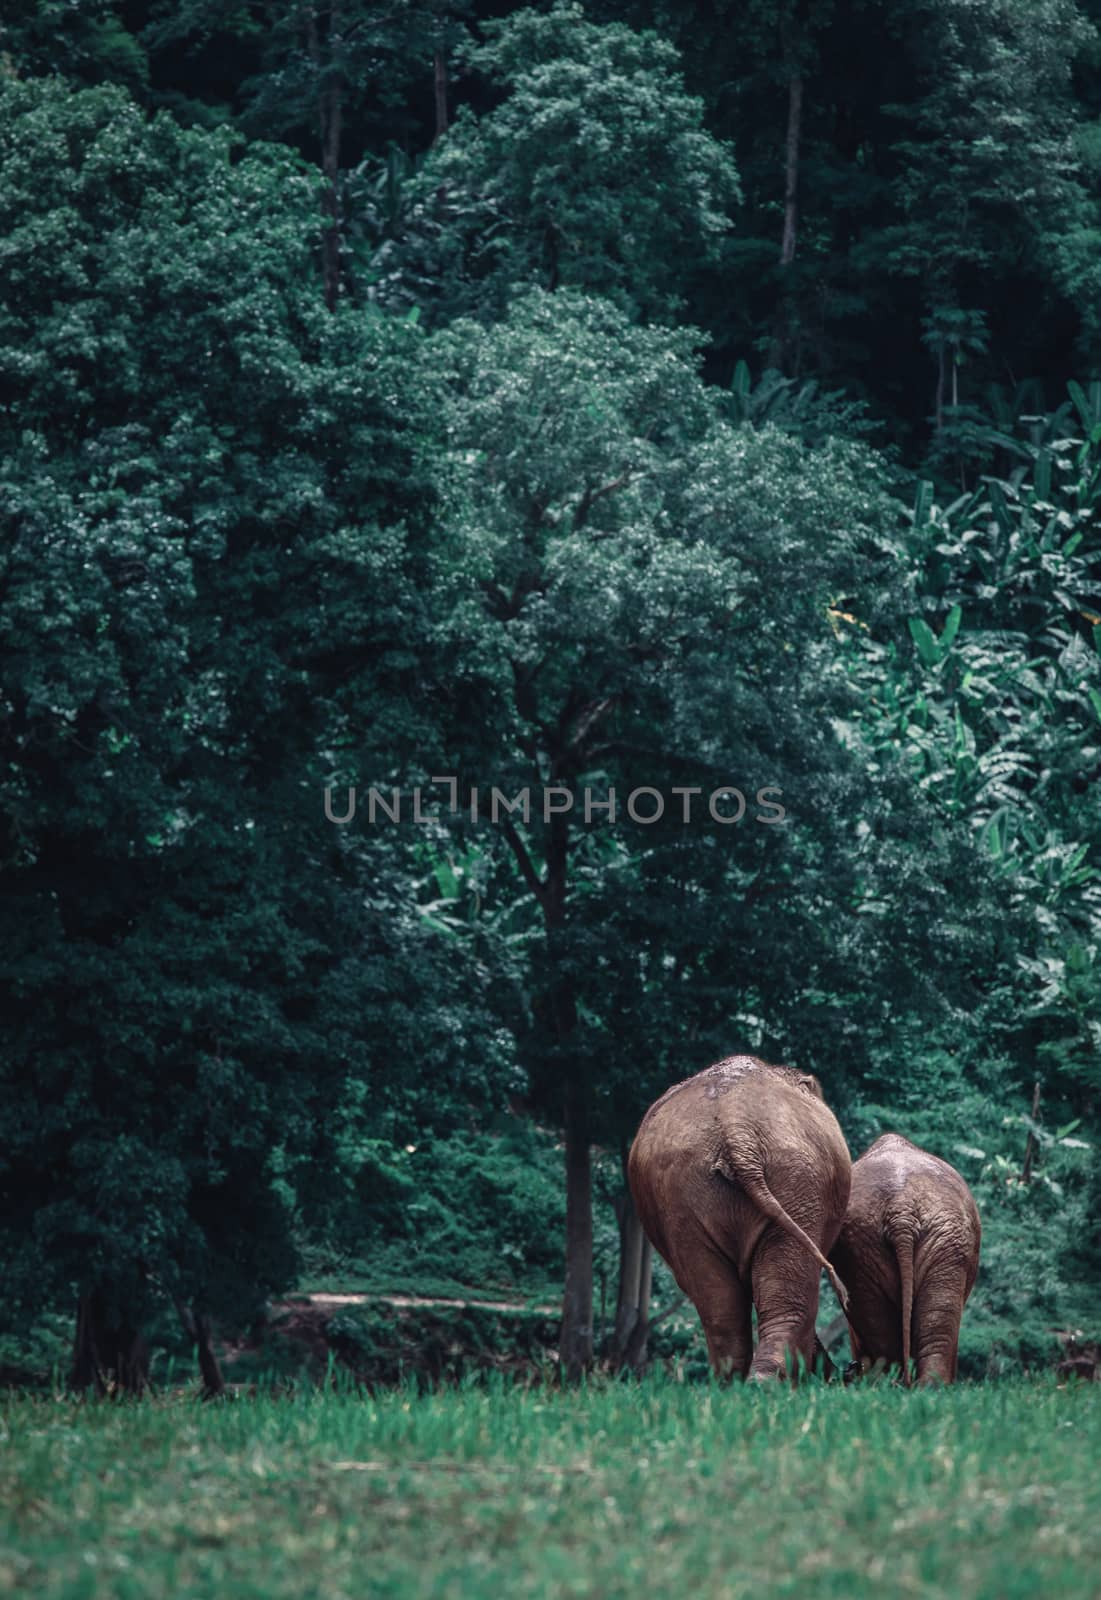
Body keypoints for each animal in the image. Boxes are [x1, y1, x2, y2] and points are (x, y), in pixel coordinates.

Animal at [627, 1056, 851, 1382]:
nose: (840, 1374)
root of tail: (735, 1128)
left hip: (695, 1191)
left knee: (723, 1310)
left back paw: (742, 1384)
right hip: (791, 1179)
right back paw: (761, 1383)